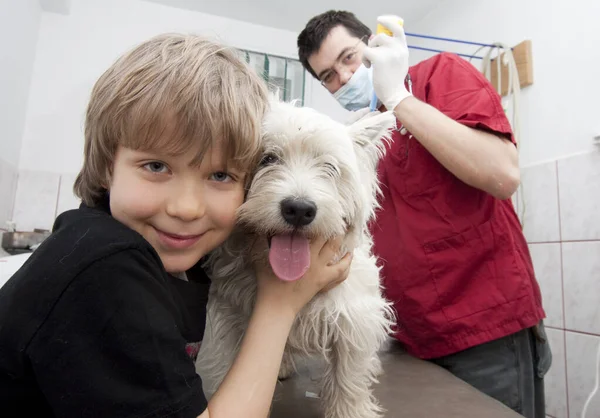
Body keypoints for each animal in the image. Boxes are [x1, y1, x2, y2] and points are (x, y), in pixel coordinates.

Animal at [197, 99, 400, 418]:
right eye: (267, 158)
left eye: (329, 167)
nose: (299, 209)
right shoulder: (229, 316)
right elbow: (226, 366)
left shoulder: (353, 316)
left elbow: (348, 377)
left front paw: (351, 410)